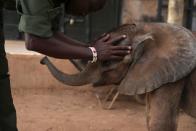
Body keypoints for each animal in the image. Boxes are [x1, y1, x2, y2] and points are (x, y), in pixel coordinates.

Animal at [40, 22, 196, 131]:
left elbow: (161, 122)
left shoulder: (173, 72)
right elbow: (150, 117)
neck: (148, 31)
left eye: (107, 63)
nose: (42, 59)